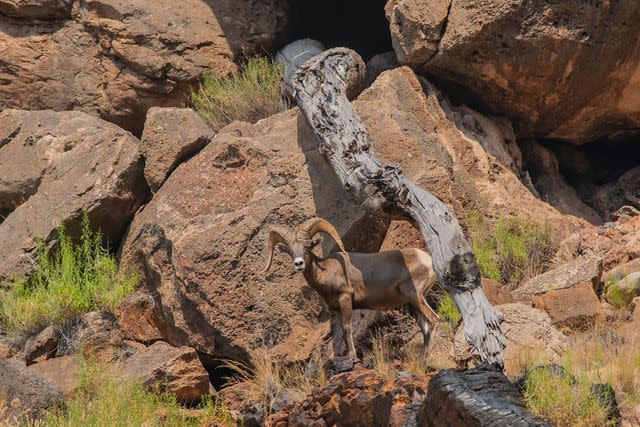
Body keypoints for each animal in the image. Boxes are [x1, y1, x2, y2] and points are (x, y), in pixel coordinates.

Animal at [262, 217, 440, 358]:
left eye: (307, 247)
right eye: (290, 251)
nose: (298, 263)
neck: (325, 271)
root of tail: (428, 261)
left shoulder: (345, 299)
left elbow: (347, 329)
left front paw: (352, 356)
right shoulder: (337, 309)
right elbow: (342, 331)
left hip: (415, 296)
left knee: (433, 320)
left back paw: (425, 358)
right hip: (413, 304)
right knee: (424, 327)